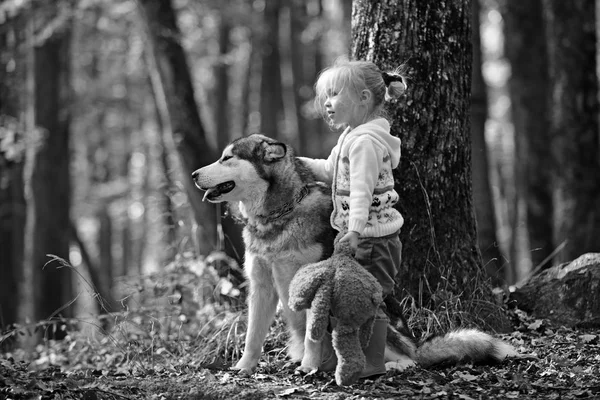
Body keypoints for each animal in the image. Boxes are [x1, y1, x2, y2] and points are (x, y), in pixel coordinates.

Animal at [191, 134, 516, 376]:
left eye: (227, 158)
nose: (194, 174)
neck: (279, 215)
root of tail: (415, 342)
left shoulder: (314, 284)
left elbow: (311, 334)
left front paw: (308, 366)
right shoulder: (261, 286)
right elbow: (252, 336)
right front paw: (243, 367)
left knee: (406, 357)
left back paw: (392, 365)